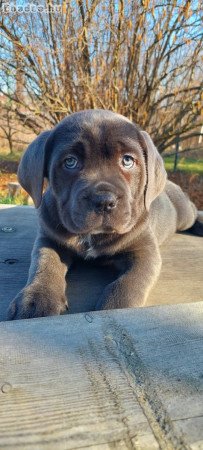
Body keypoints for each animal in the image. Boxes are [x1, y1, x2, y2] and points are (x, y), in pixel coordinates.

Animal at [7, 109, 201, 320]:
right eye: (70, 162)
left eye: (127, 160)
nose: (103, 201)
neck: (93, 236)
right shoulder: (49, 240)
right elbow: (44, 264)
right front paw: (36, 299)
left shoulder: (144, 250)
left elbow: (129, 283)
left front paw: (116, 308)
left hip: (183, 214)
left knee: (193, 210)